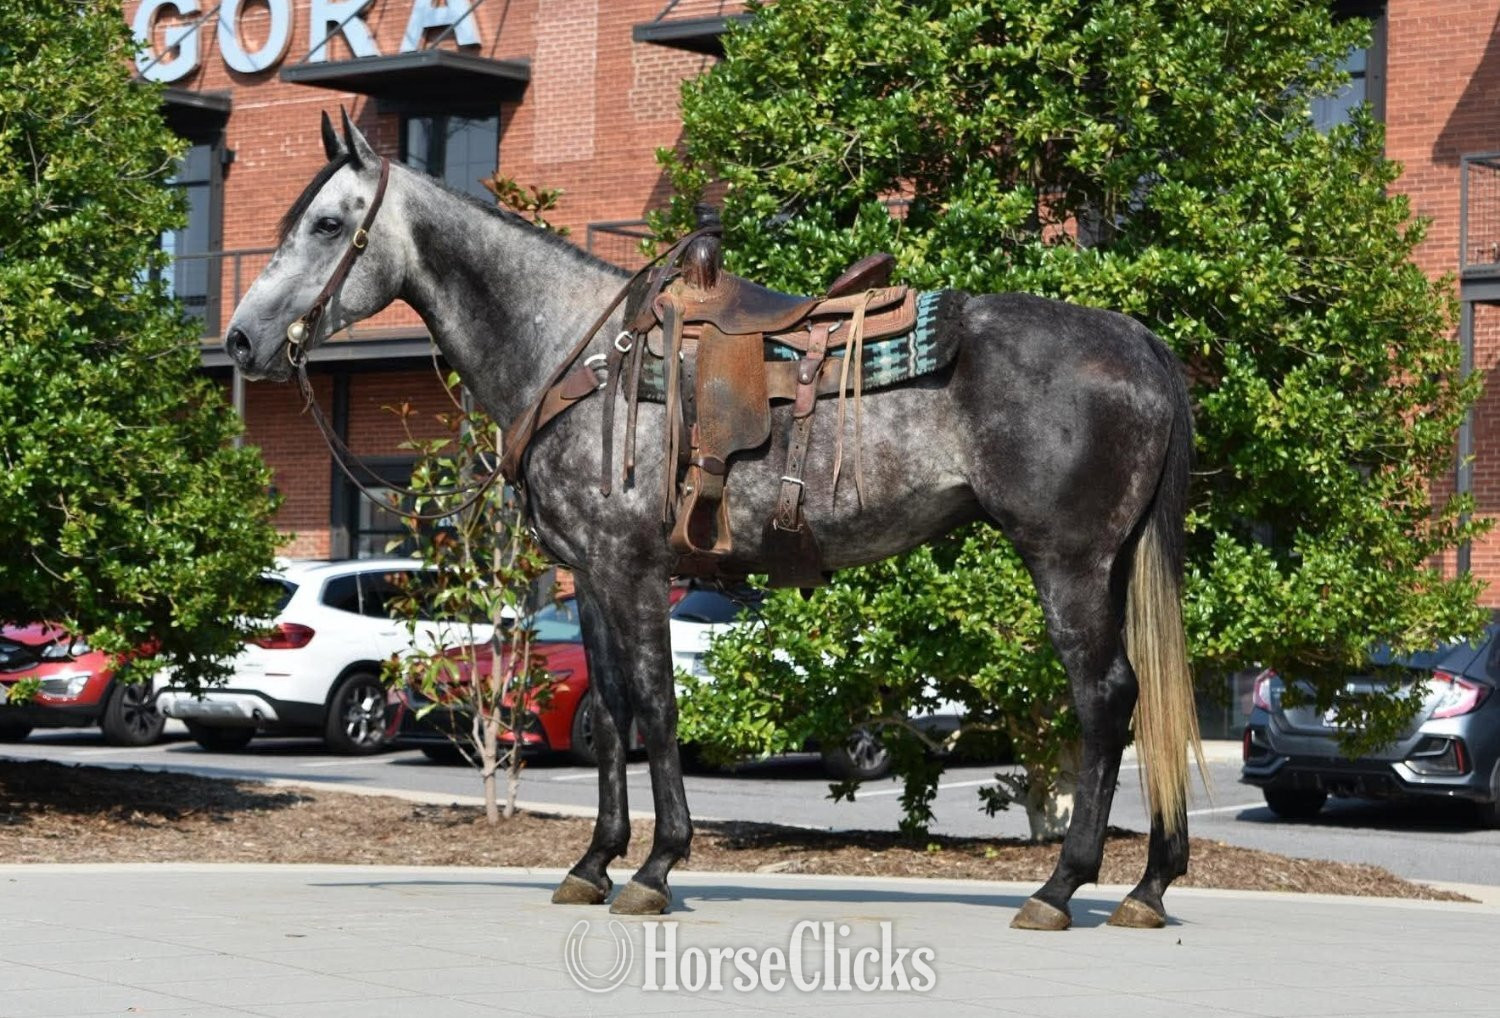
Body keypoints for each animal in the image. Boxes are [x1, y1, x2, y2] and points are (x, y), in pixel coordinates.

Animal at [225, 111, 1202, 931]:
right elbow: (613, 708)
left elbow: (657, 704)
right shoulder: (591, 575)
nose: (240, 340)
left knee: (1105, 699)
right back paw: (1149, 887)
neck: (581, 355)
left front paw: (656, 869)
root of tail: (1138, 341)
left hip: (1068, 561)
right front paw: (594, 863)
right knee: (1144, 696)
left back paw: (1063, 887)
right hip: (1112, 563)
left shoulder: (634, 569)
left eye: (326, 225)